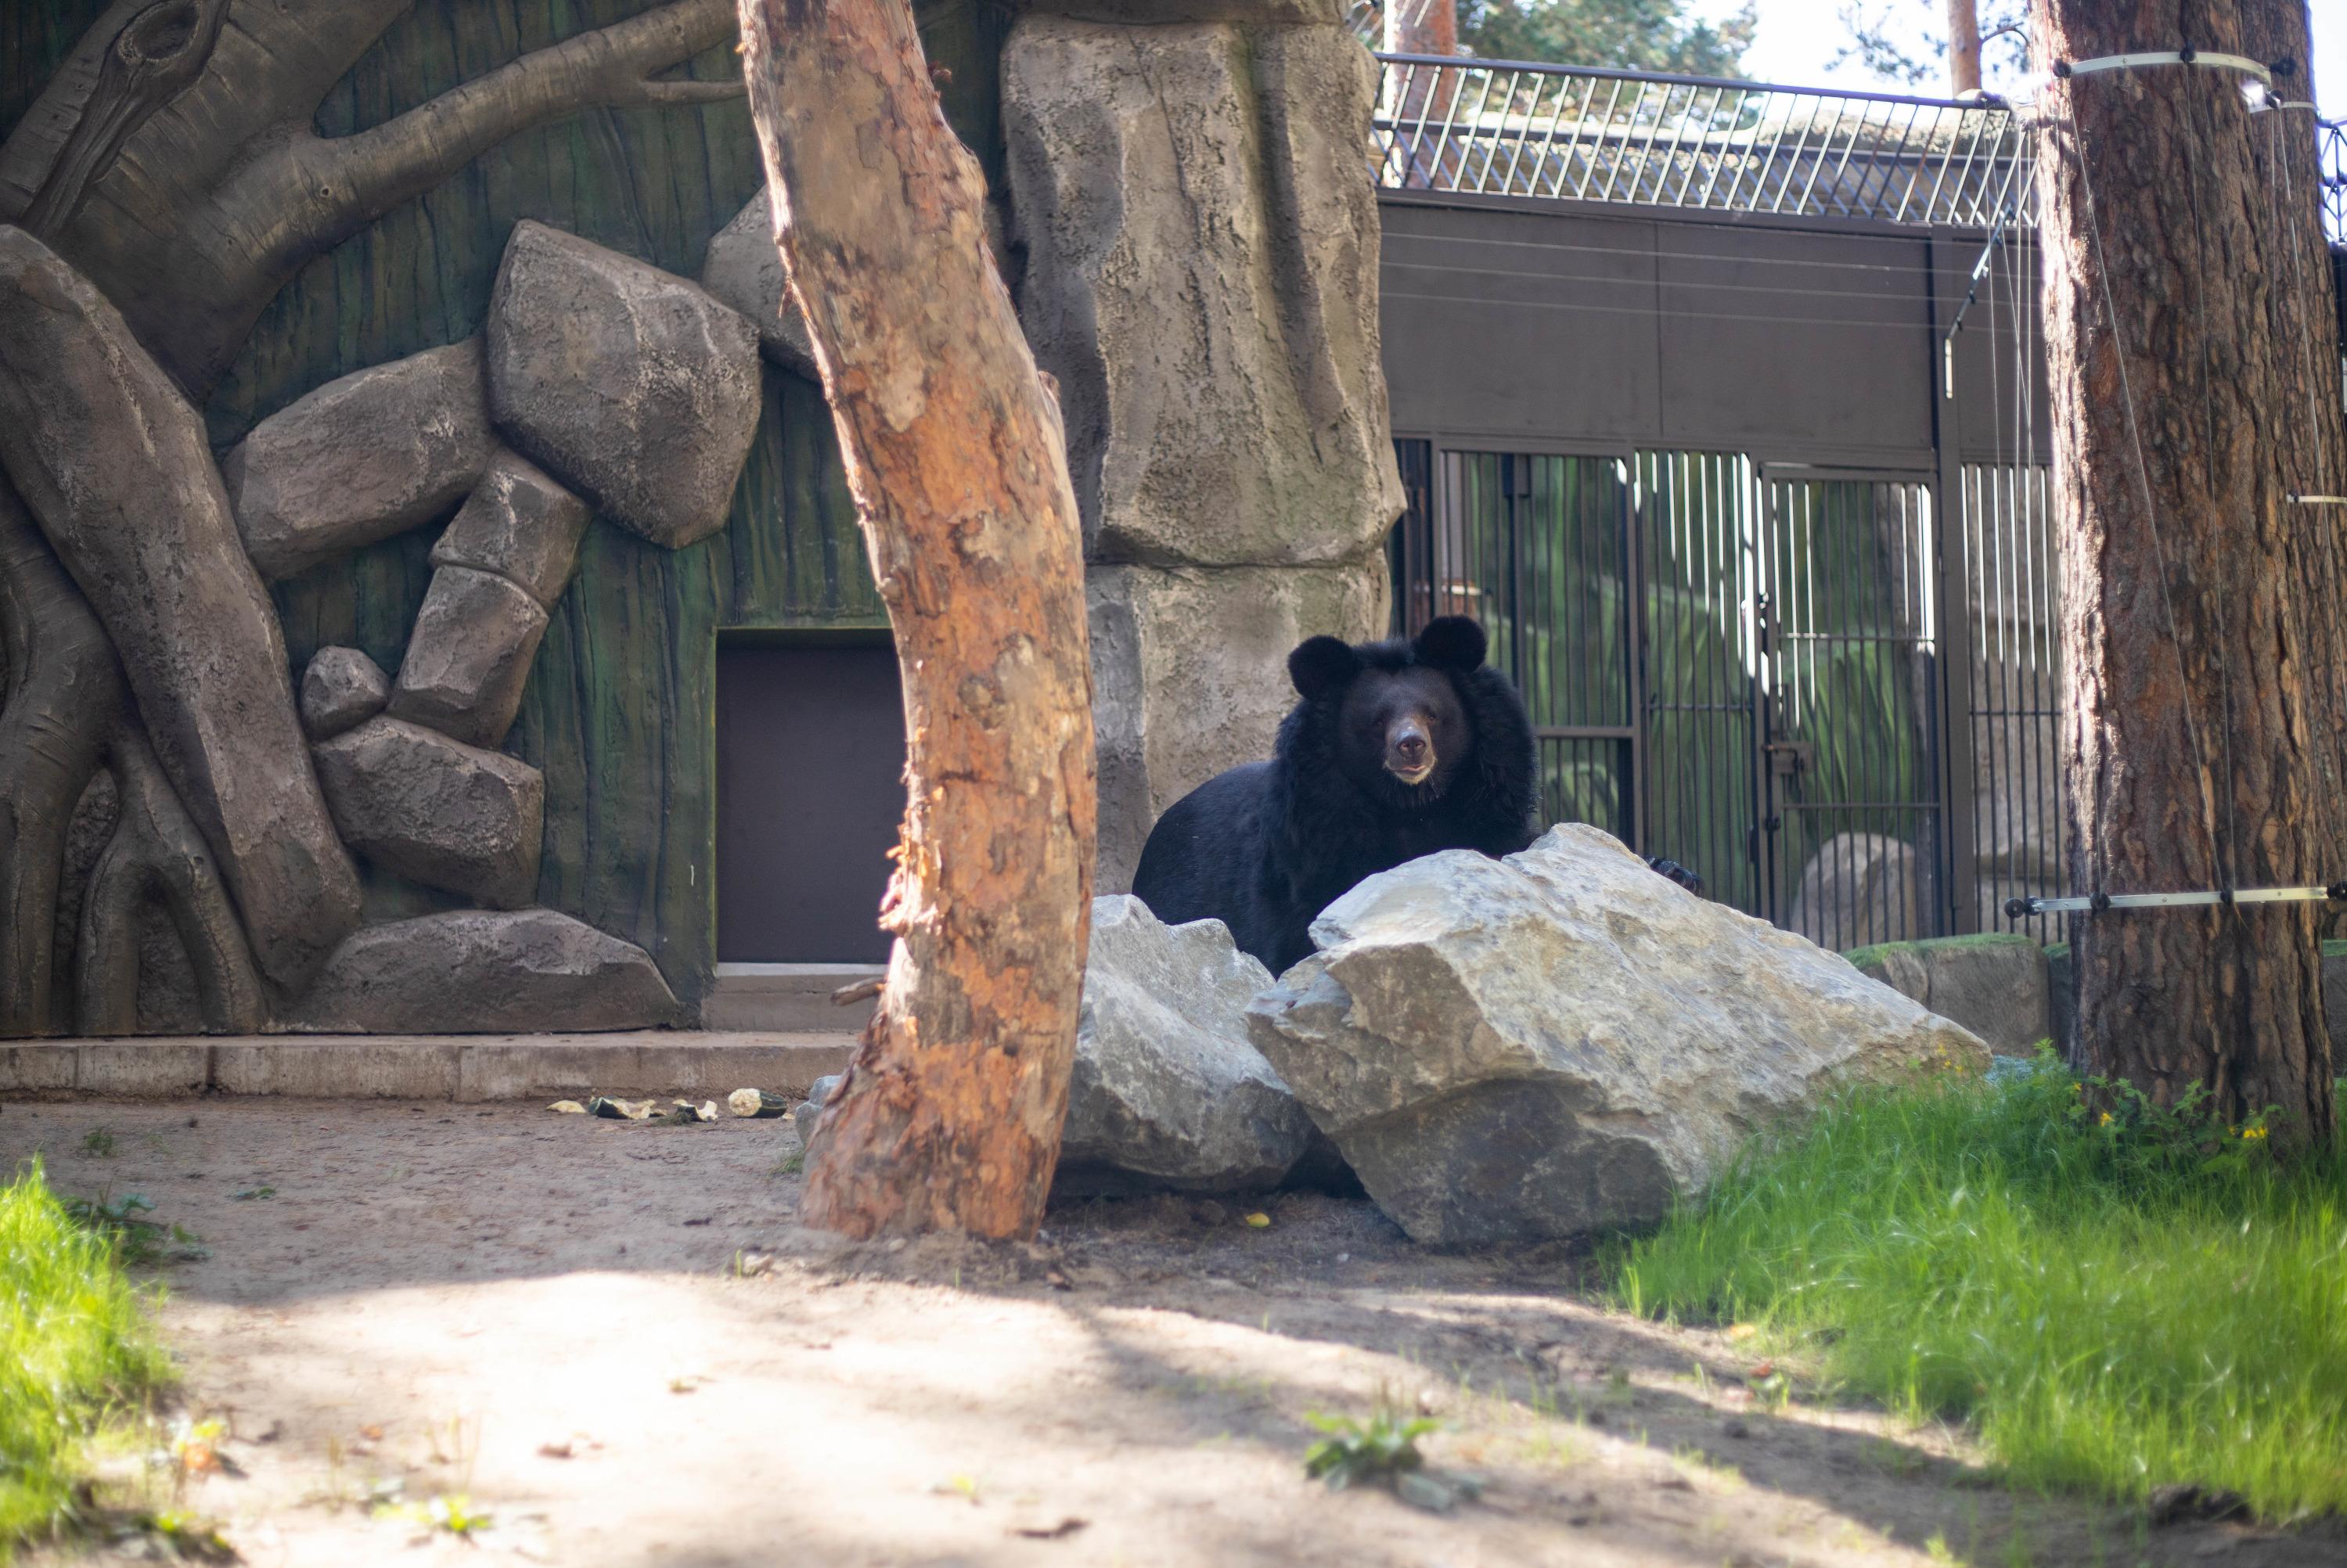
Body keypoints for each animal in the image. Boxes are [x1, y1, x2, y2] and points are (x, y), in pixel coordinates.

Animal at [1131, 615, 1699, 972]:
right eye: (1377, 719)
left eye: (1432, 713)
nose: (1410, 746)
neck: (1410, 806)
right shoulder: (1311, 848)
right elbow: (1300, 934)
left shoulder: (1490, 809)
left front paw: (1674, 871)